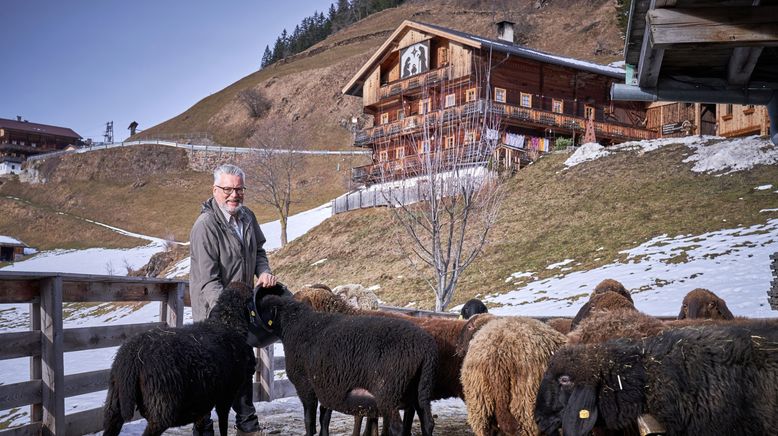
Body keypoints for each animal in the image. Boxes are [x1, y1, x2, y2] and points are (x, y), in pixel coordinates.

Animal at [103, 282, 284, 436]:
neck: (227, 324)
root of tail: (132, 357)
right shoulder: (225, 394)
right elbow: (223, 424)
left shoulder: (203, 401)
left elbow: (202, 424)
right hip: (161, 408)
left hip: (114, 407)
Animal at [255, 292, 436, 436]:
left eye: (262, 309)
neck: (296, 326)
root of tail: (424, 348)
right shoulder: (327, 386)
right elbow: (324, 418)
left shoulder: (305, 385)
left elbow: (309, 421)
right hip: (419, 391)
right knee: (428, 423)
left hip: (389, 392)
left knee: (396, 428)